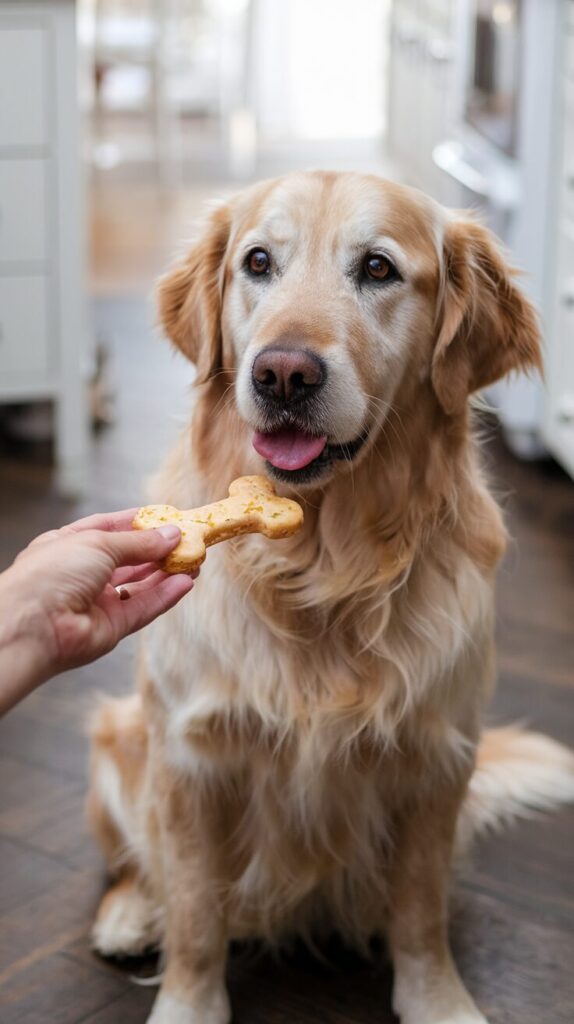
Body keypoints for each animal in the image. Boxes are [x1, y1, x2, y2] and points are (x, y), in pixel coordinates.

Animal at [87, 172, 572, 1019]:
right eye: (257, 262)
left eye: (378, 268)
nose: (283, 373)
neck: (321, 565)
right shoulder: (189, 757)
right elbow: (195, 910)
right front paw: (188, 1002)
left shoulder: (437, 759)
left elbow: (421, 914)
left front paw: (441, 1002)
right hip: (120, 736)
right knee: (138, 865)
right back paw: (129, 912)